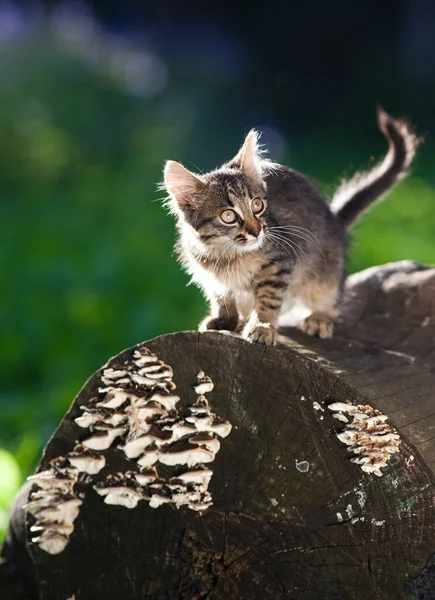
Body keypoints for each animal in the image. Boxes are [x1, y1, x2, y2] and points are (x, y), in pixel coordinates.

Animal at [163, 105, 418, 344]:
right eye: (228, 216)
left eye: (257, 205)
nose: (257, 231)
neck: (228, 254)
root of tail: (334, 220)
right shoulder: (208, 276)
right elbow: (222, 297)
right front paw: (224, 319)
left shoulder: (279, 263)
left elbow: (268, 299)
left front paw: (262, 327)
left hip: (324, 272)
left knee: (332, 297)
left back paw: (320, 317)